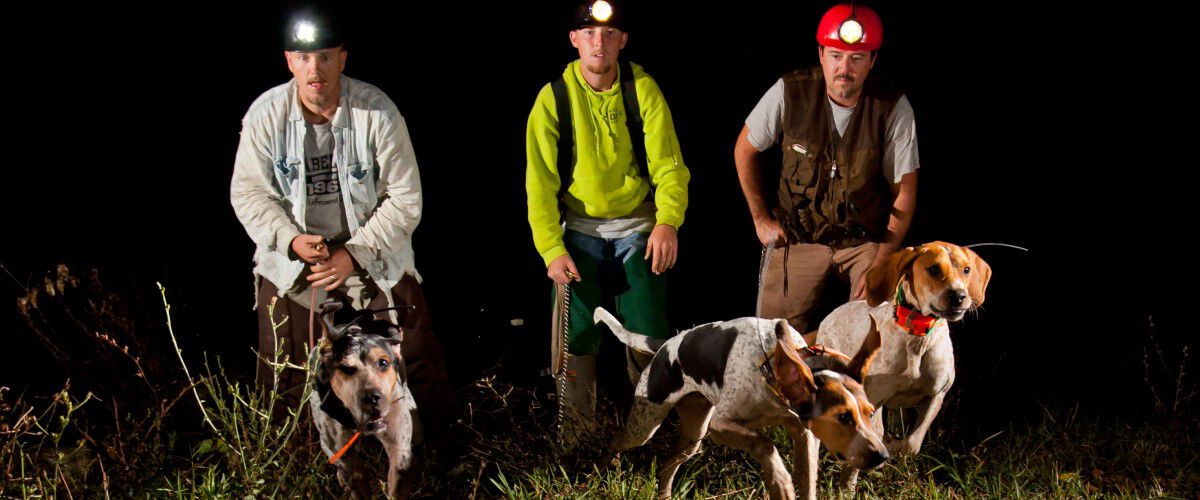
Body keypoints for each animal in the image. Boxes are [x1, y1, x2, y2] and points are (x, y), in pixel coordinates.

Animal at [595, 305, 888, 496]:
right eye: (843, 416)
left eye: (870, 413)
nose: (882, 456)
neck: (773, 368)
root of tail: (665, 345)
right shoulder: (720, 425)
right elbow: (765, 444)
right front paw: (780, 482)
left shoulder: (804, 434)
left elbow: (806, 480)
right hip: (645, 427)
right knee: (617, 439)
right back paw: (603, 466)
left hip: (693, 437)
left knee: (668, 468)